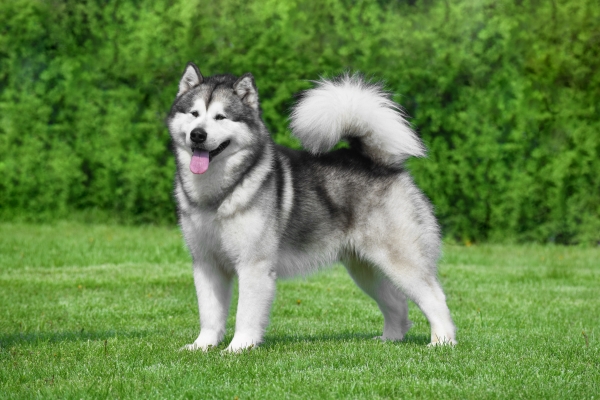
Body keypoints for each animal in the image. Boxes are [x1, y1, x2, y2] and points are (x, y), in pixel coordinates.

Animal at [164, 61, 454, 350]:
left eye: (220, 117)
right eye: (194, 113)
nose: (197, 135)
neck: (217, 194)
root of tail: (379, 163)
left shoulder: (253, 265)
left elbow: (245, 314)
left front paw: (238, 347)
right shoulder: (206, 264)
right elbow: (209, 313)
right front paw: (203, 346)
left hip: (400, 261)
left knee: (435, 298)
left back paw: (442, 342)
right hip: (365, 269)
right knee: (397, 303)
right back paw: (389, 339)